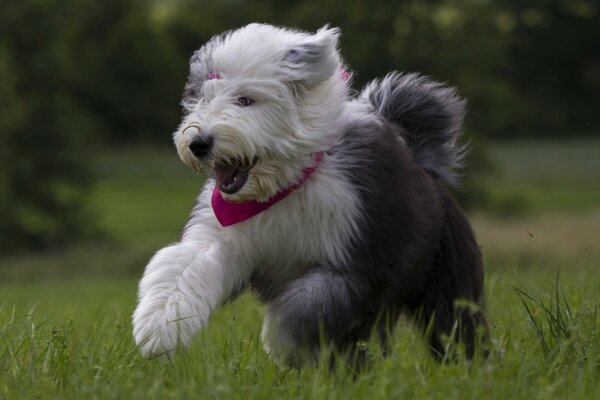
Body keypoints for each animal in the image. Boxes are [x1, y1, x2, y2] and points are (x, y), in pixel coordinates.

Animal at [131, 21, 488, 366]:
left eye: (246, 99)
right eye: (202, 98)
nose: (198, 143)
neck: (285, 186)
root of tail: (423, 165)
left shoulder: (354, 266)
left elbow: (307, 307)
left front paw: (284, 346)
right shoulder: (224, 238)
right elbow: (181, 266)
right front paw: (159, 327)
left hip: (447, 281)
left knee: (456, 327)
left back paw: (468, 368)